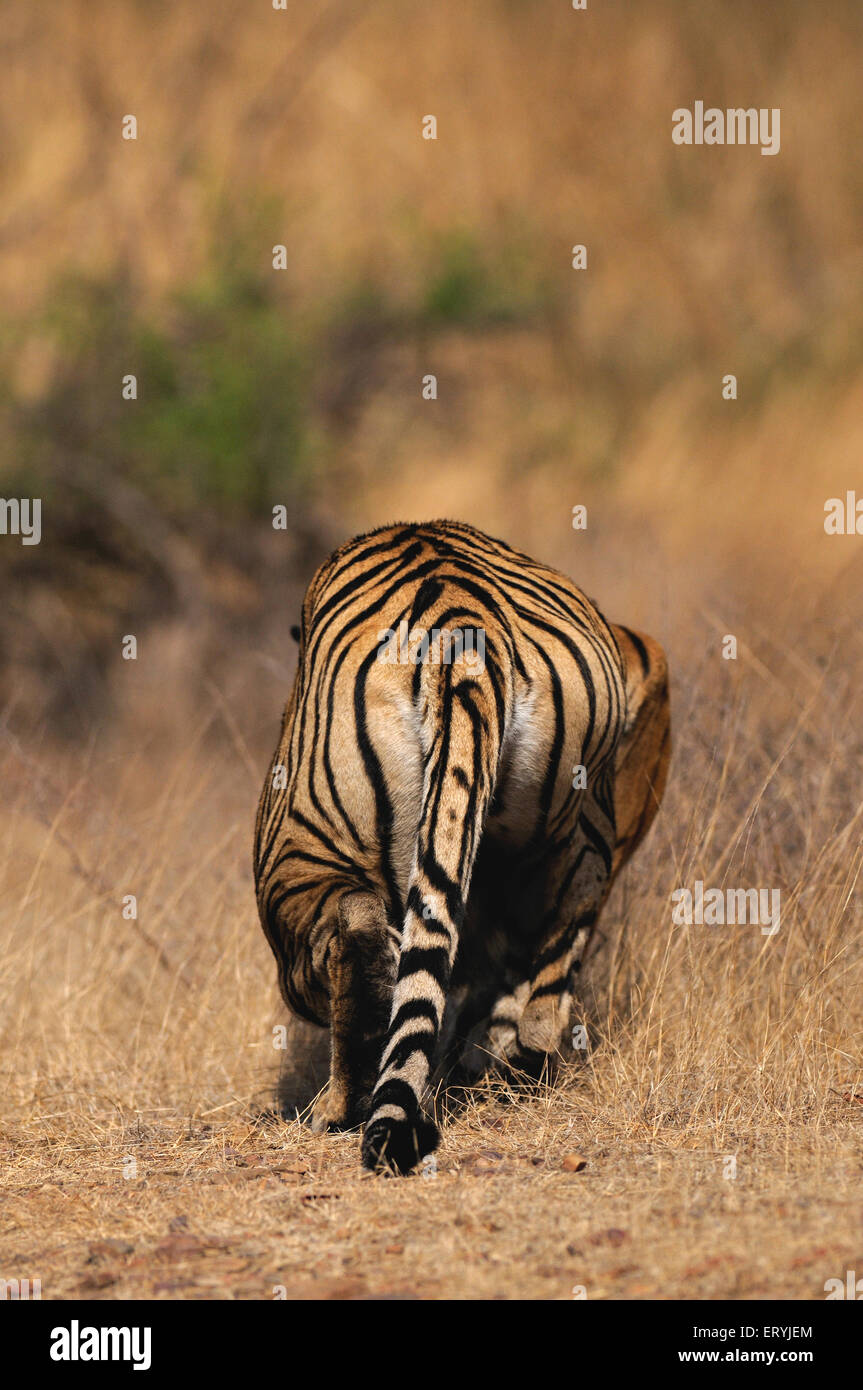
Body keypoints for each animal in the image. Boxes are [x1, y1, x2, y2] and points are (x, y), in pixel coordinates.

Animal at [252, 522, 669, 1173]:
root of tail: (461, 620)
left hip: (300, 850)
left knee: (360, 937)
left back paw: (341, 1109)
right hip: (575, 847)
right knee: (542, 999)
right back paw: (503, 1079)